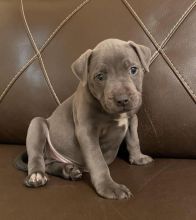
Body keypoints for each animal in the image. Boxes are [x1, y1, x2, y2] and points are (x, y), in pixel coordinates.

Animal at [21, 39, 152, 199]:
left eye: (133, 69)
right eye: (100, 77)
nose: (122, 99)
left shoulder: (132, 118)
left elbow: (134, 140)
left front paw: (138, 158)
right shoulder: (87, 132)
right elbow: (98, 161)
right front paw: (108, 187)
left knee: (49, 164)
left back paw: (68, 170)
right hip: (37, 124)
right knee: (37, 156)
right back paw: (36, 176)